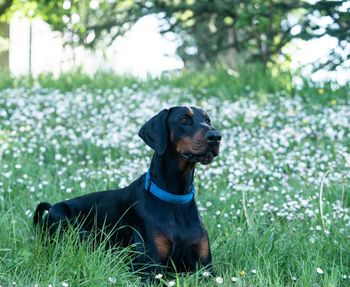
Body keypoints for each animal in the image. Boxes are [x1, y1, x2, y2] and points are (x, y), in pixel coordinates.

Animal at [32, 107, 220, 276]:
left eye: (208, 119)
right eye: (184, 119)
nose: (216, 136)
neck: (176, 199)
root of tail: (51, 208)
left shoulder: (206, 269)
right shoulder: (152, 269)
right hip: (72, 226)